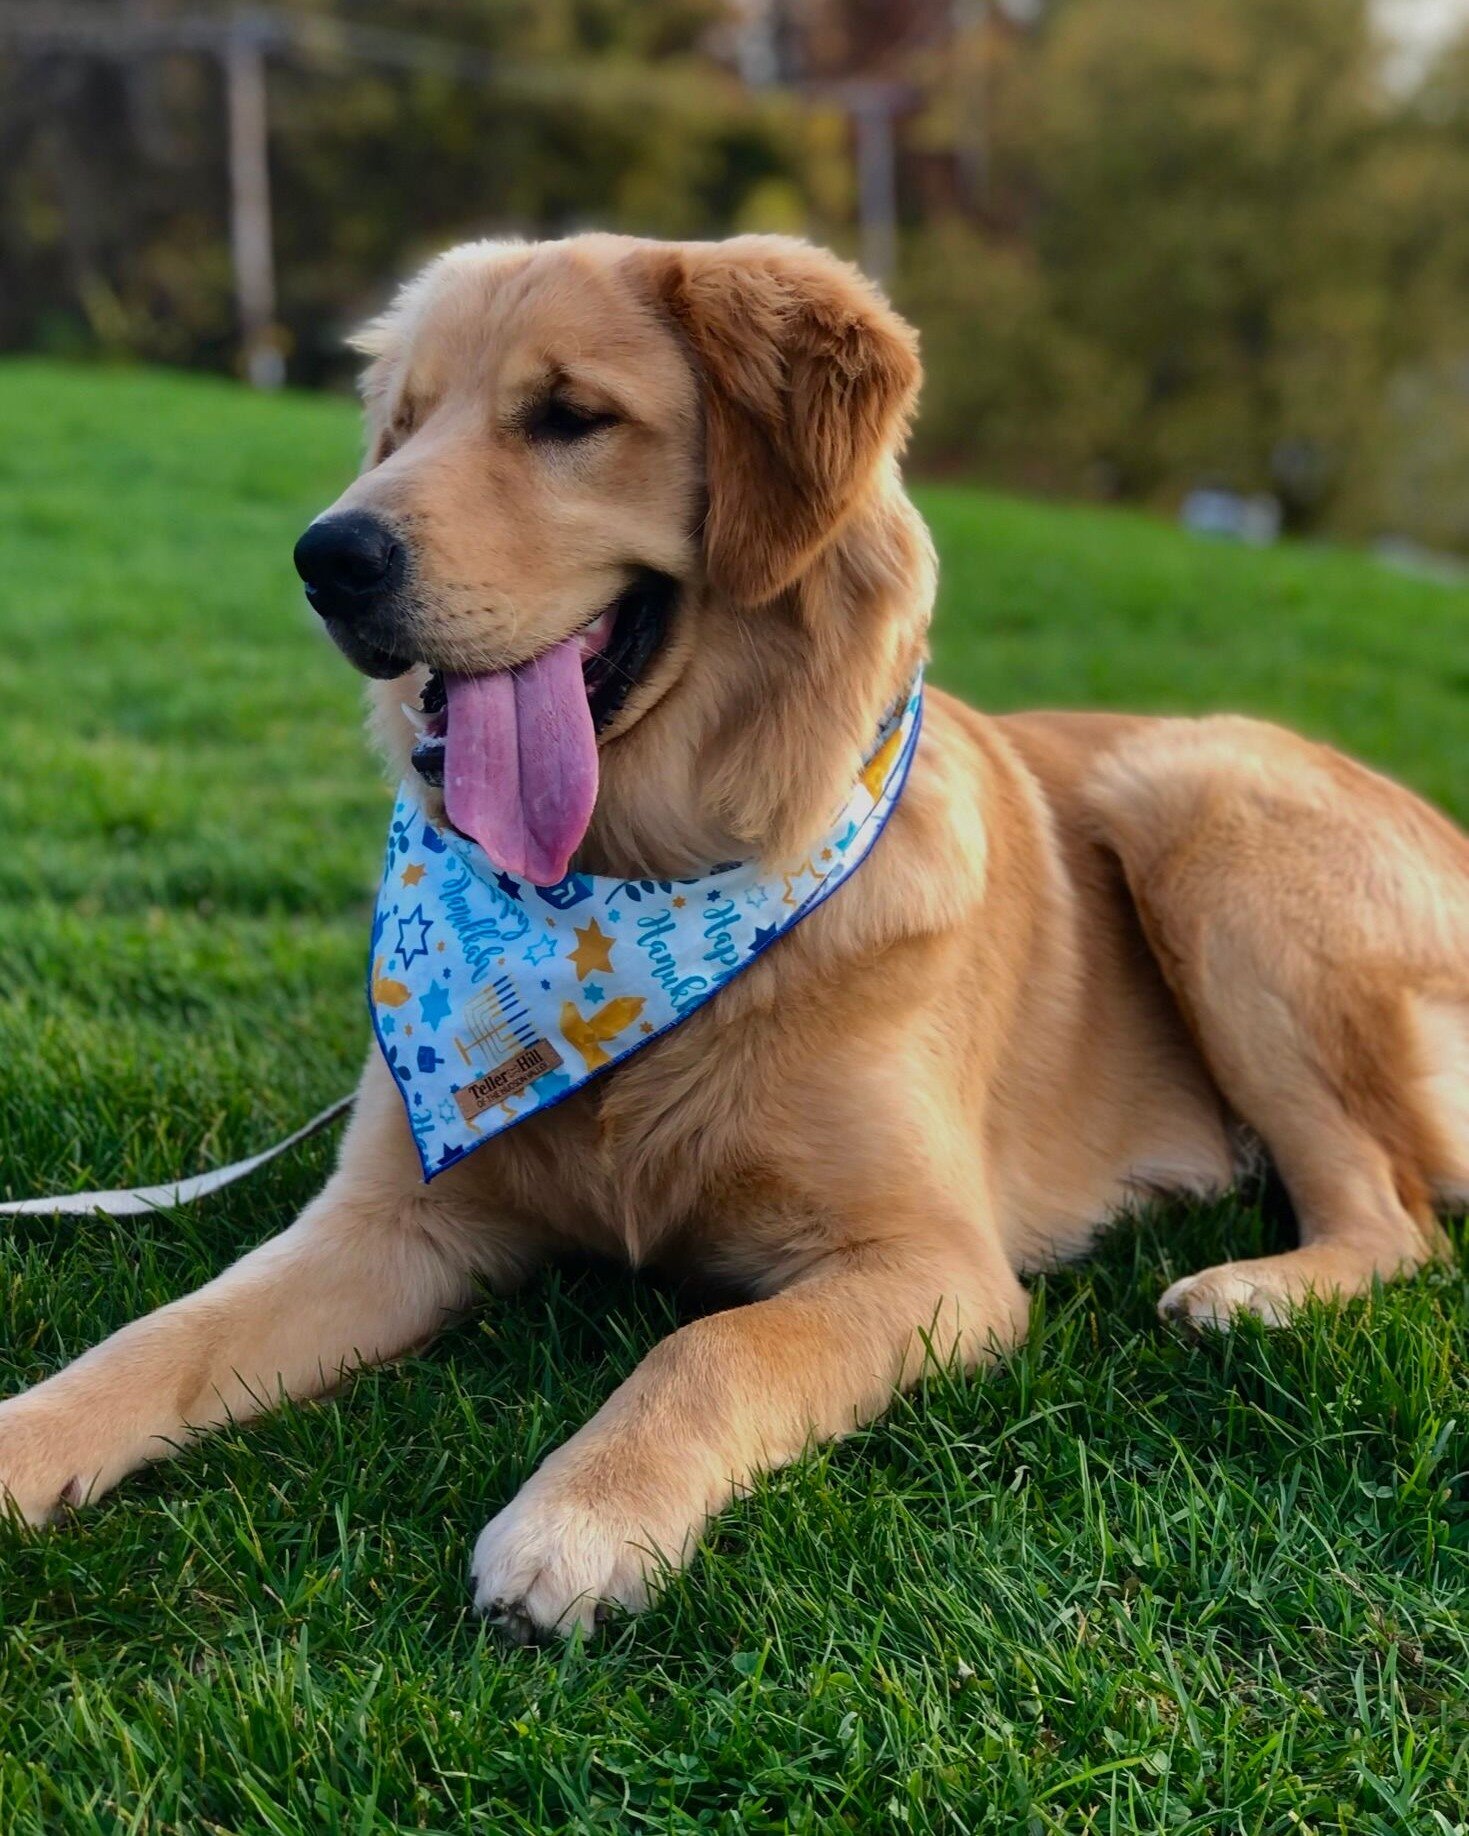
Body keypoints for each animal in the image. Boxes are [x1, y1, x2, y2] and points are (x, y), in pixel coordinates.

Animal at [2, 236, 1469, 1645]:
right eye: (401, 425)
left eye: (568, 415)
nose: (329, 559)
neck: (631, 897)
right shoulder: (391, 1220)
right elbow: (172, 1329)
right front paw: (27, 1442)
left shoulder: (930, 1266)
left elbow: (713, 1348)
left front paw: (583, 1516)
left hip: (1194, 801)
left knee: (1394, 1216)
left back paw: (1252, 1296)